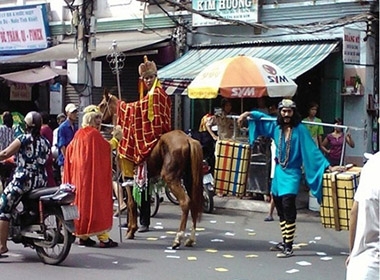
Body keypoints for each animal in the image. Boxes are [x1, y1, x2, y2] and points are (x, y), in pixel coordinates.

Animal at [99, 90, 203, 249]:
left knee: (185, 202)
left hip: (171, 178)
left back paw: (177, 239)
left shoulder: (126, 178)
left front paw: (131, 230)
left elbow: (131, 203)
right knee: (194, 204)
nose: (98, 123)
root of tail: (188, 139)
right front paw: (130, 227)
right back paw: (190, 239)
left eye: (102, 105)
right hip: (189, 179)